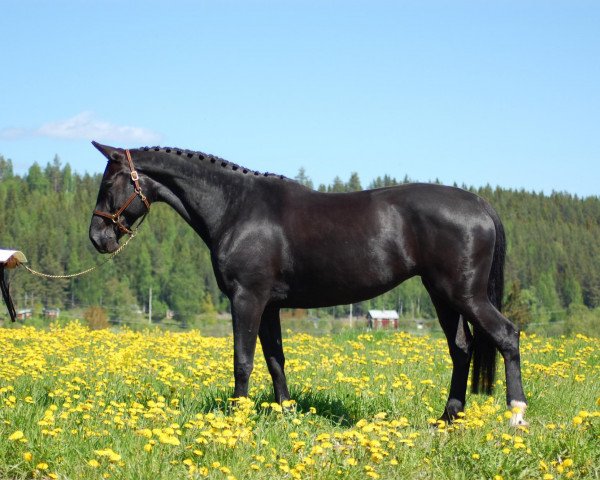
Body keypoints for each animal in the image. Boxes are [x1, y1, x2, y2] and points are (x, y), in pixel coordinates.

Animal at [86, 142, 528, 424]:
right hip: (442, 296)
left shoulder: (247, 298)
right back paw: (448, 418)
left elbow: (243, 361)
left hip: (464, 294)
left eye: (108, 185)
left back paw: (516, 416)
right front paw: (286, 414)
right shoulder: (270, 305)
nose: (98, 238)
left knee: (507, 336)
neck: (237, 207)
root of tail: (480, 204)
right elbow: (275, 360)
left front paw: (235, 420)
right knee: (462, 349)